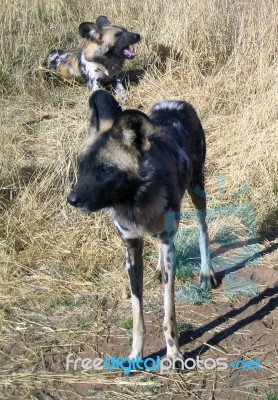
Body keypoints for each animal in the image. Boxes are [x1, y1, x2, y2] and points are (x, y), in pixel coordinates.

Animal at [68, 90, 217, 362]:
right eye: (82, 167)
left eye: (105, 170)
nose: (72, 199)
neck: (135, 200)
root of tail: (175, 102)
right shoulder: (131, 248)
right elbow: (137, 312)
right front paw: (136, 354)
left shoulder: (167, 242)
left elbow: (169, 312)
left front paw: (174, 353)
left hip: (197, 190)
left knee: (203, 229)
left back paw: (205, 273)